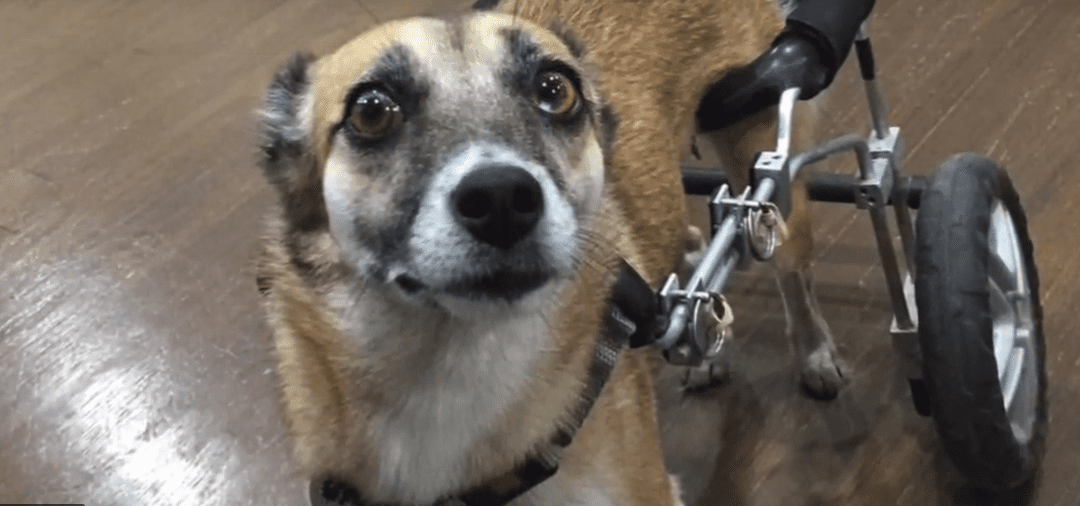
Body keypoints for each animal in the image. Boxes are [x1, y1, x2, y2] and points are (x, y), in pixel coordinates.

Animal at [257, 0, 838, 502]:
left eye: (556, 90)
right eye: (372, 111)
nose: (501, 199)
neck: (453, 364)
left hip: (765, 176)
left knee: (789, 272)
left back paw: (814, 353)